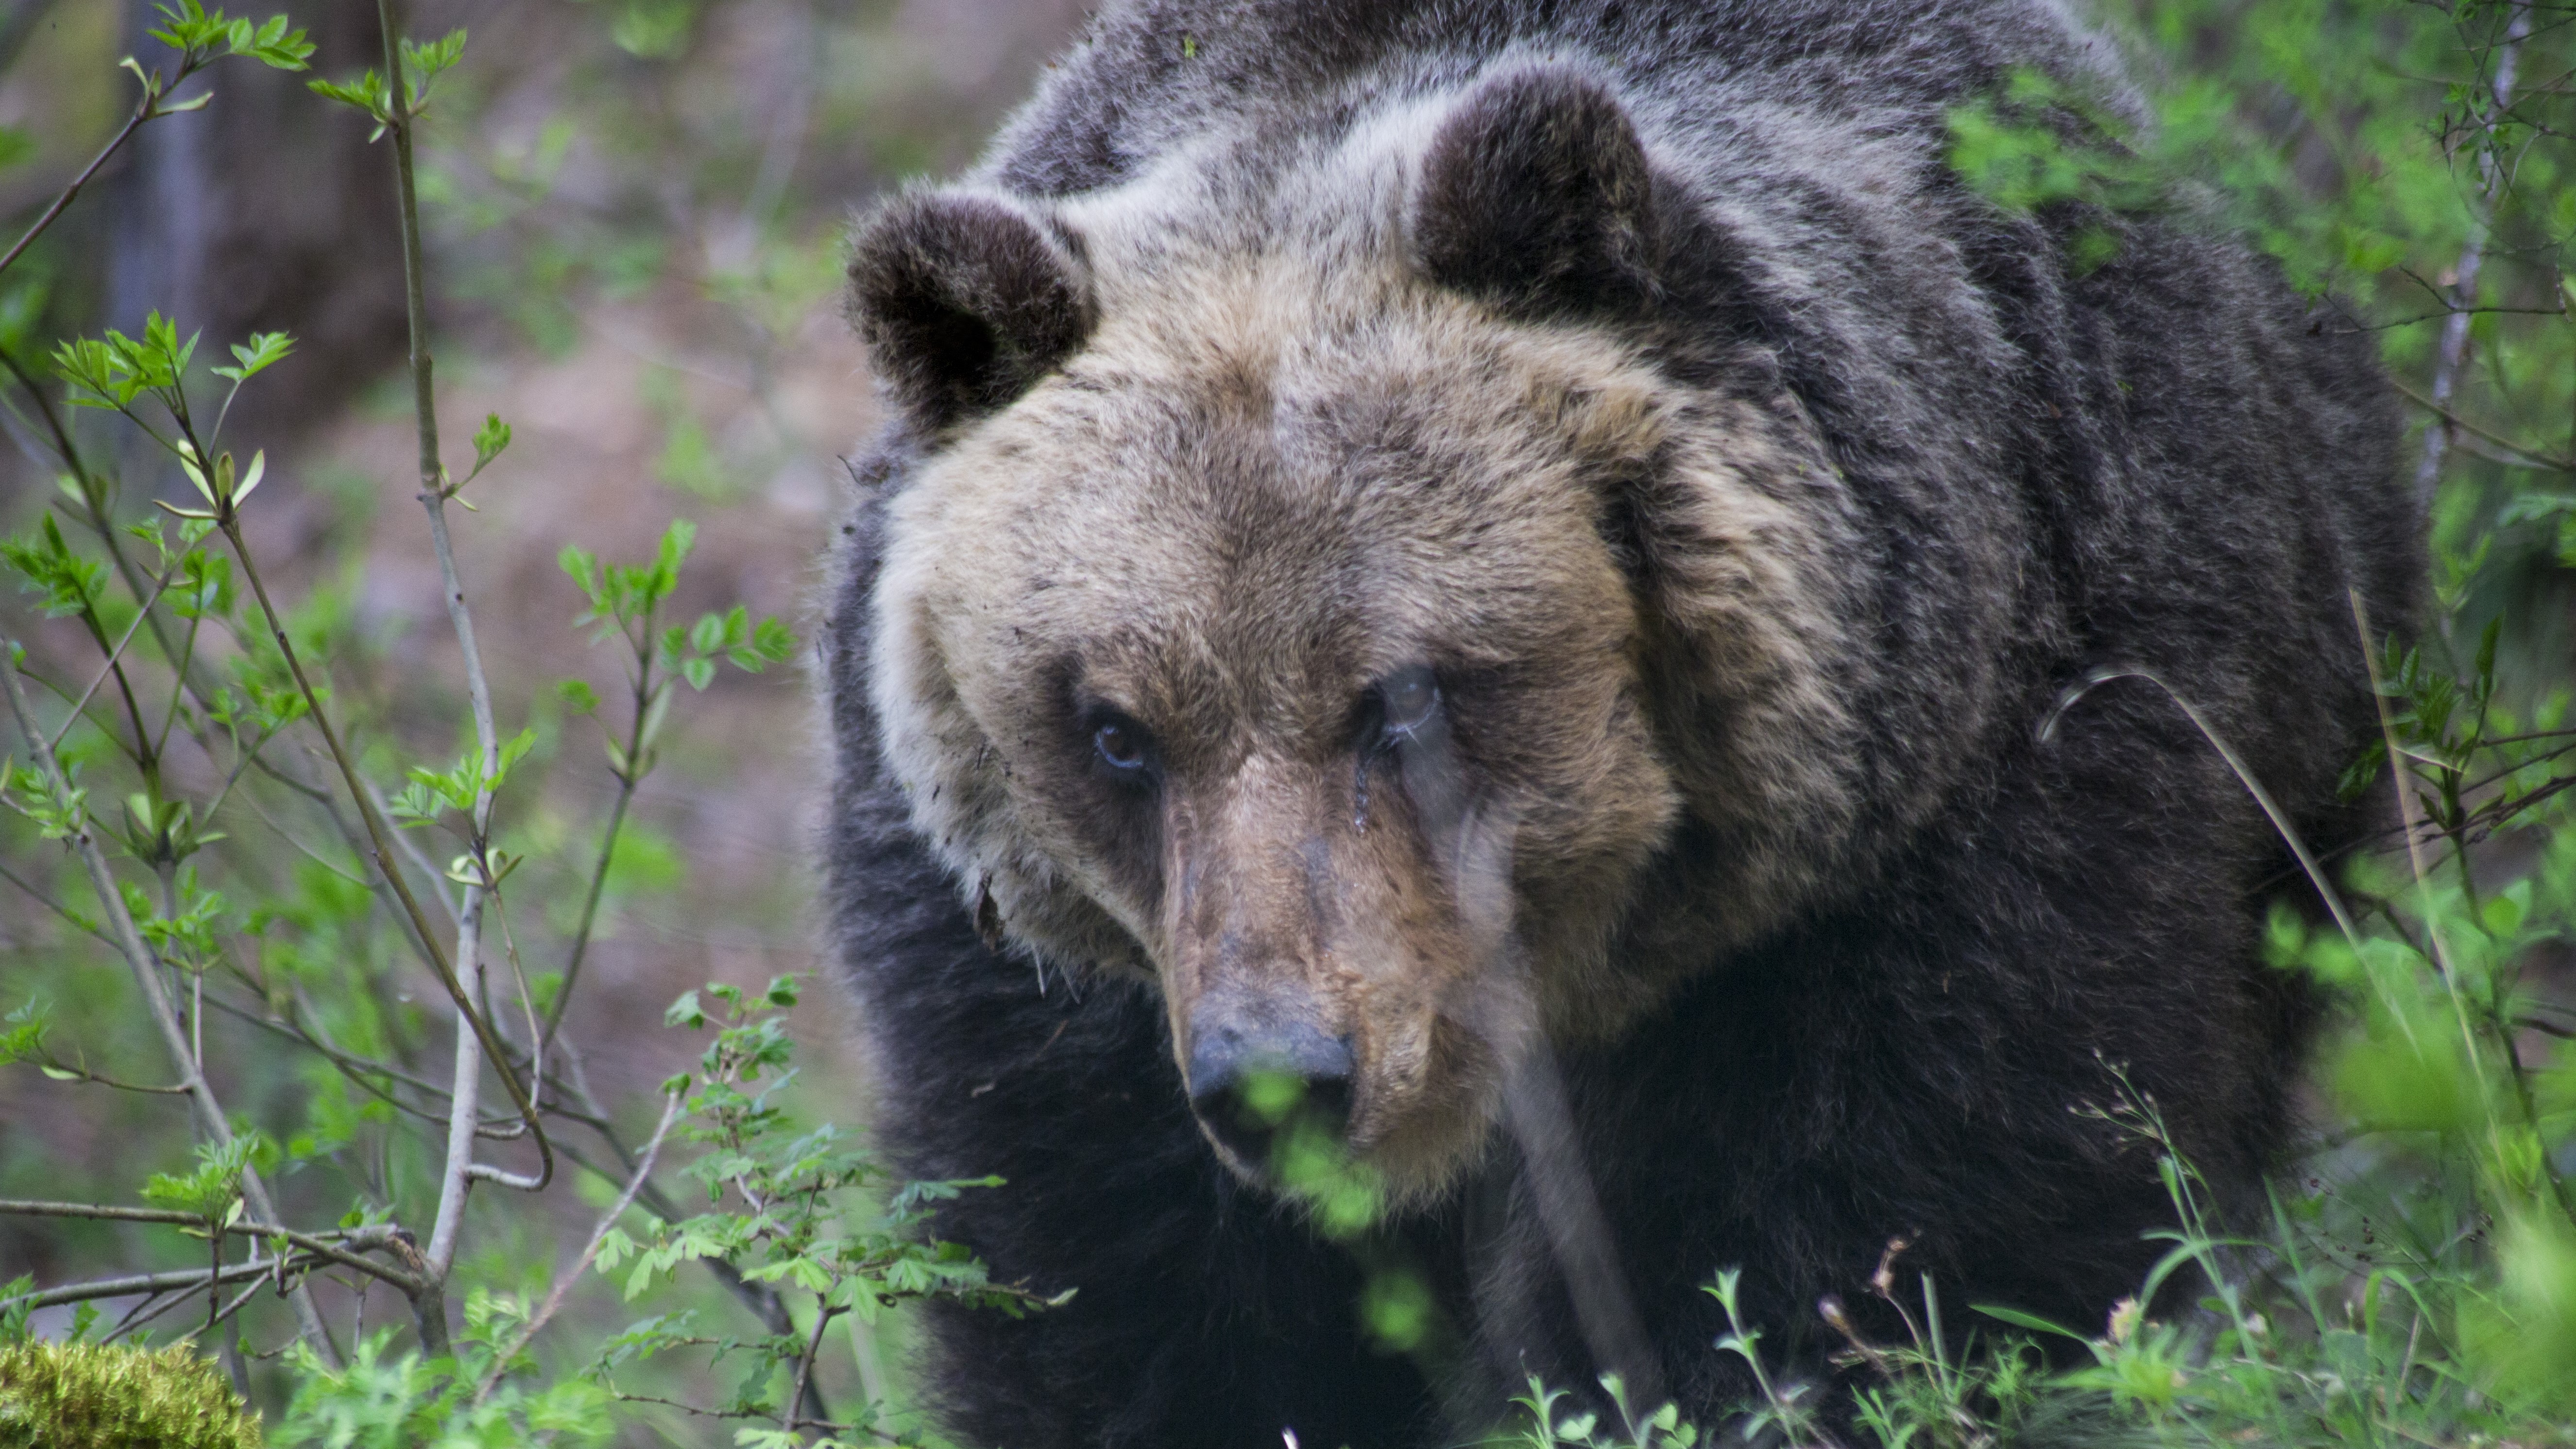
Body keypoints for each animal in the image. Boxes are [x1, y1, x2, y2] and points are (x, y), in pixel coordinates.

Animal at [819, 2, 2411, 1444]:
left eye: (1403, 693)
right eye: (1116, 730)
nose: (1280, 1074)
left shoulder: (1964, 812)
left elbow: (1878, 1224)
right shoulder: (1061, 1005)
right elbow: (1128, 1288)